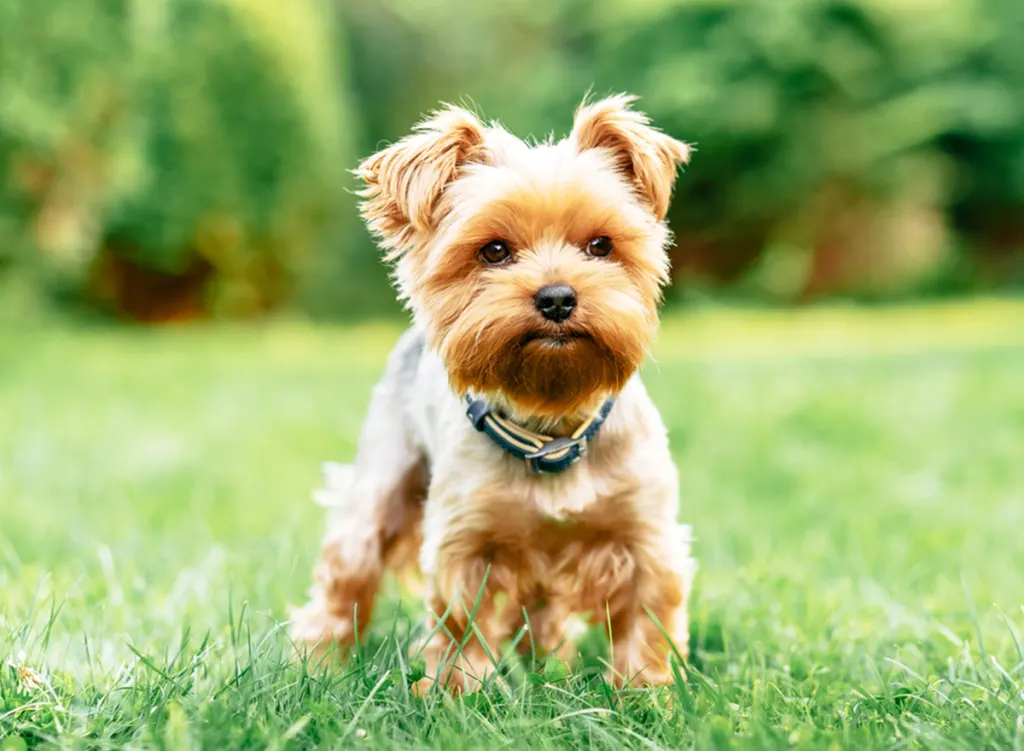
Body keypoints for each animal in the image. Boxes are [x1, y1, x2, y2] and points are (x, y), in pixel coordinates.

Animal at [292, 93, 700, 692]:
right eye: (494, 251)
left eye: (601, 245)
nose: (557, 297)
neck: (550, 425)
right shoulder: (466, 539)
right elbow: (463, 625)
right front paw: (460, 694)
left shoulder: (645, 536)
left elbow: (646, 623)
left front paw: (644, 695)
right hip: (377, 488)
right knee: (347, 574)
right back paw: (317, 664)